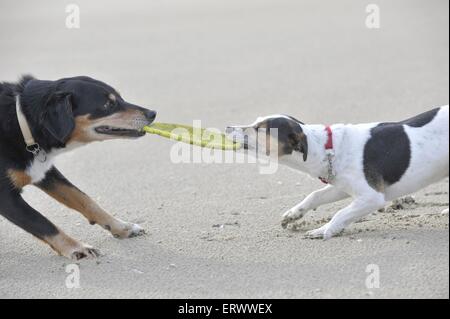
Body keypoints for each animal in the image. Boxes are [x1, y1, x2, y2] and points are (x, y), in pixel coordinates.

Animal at [0, 75, 156, 260]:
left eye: (120, 97)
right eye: (107, 105)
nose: (153, 113)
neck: (23, 121)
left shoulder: (44, 172)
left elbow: (85, 200)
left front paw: (122, 227)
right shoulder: (6, 198)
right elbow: (42, 223)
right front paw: (77, 247)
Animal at [227, 107, 448, 240]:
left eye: (259, 129)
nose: (228, 126)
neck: (327, 147)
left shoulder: (372, 197)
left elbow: (340, 213)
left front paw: (324, 230)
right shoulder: (341, 186)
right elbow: (314, 196)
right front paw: (293, 214)